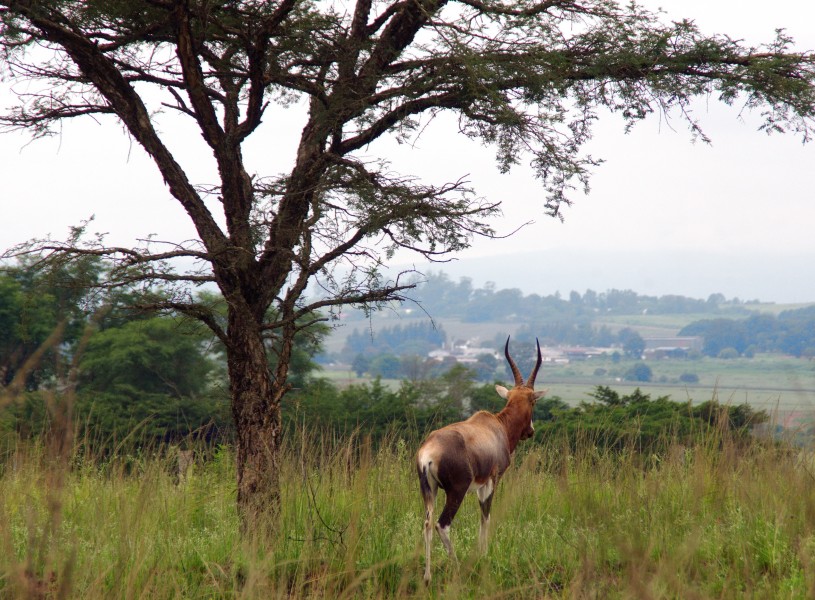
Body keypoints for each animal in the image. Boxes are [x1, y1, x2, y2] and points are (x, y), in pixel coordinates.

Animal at [418, 338, 544, 580]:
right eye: (533, 402)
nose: (530, 431)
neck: (497, 425)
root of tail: (429, 452)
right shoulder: (491, 480)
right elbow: (486, 515)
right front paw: (484, 555)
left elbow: (482, 516)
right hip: (456, 491)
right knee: (442, 524)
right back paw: (457, 567)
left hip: (430, 490)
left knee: (427, 523)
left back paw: (427, 578)